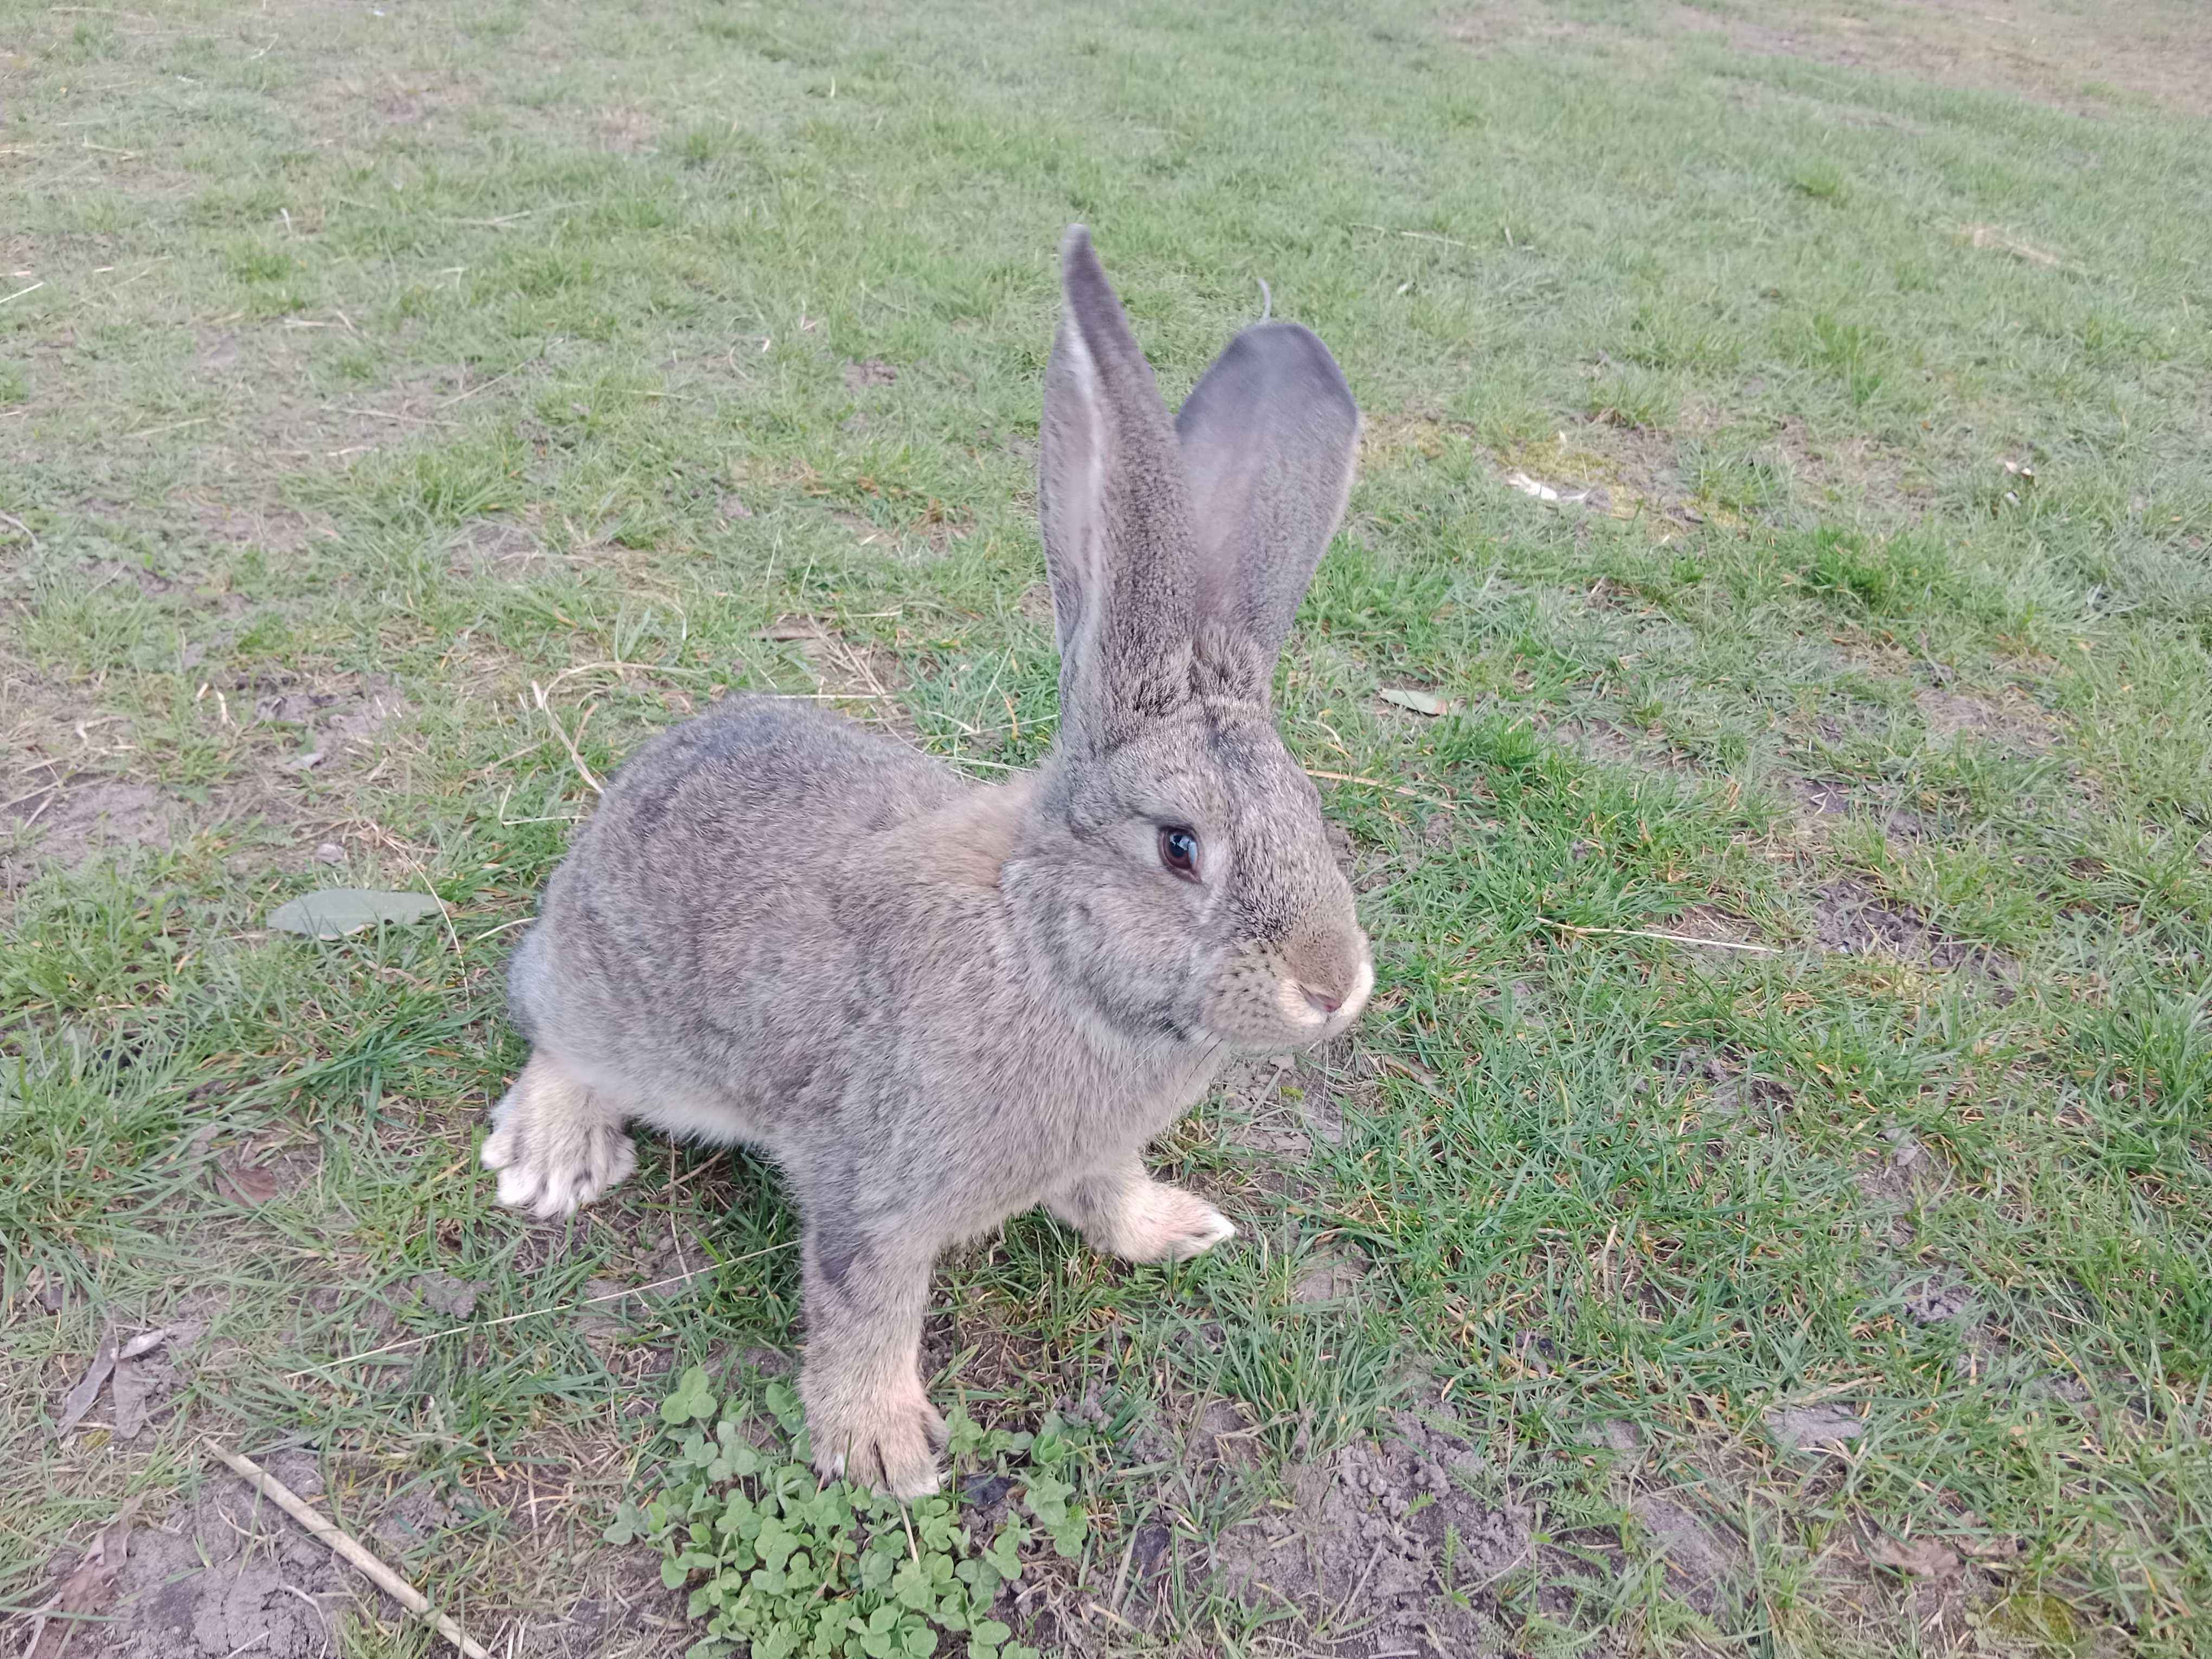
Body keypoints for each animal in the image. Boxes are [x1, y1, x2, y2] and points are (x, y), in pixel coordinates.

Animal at [488, 224, 1362, 1504]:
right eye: (1179, 847)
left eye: (1311, 812)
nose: (1334, 987)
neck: (1043, 947)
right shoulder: (874, 1188)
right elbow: (867, 1306)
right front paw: (883, 1447)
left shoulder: (1096, 1147)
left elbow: (1108, 1193)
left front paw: (1174, 1229)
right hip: (606, 1003)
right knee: (554, 1032)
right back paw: (551, 1158)